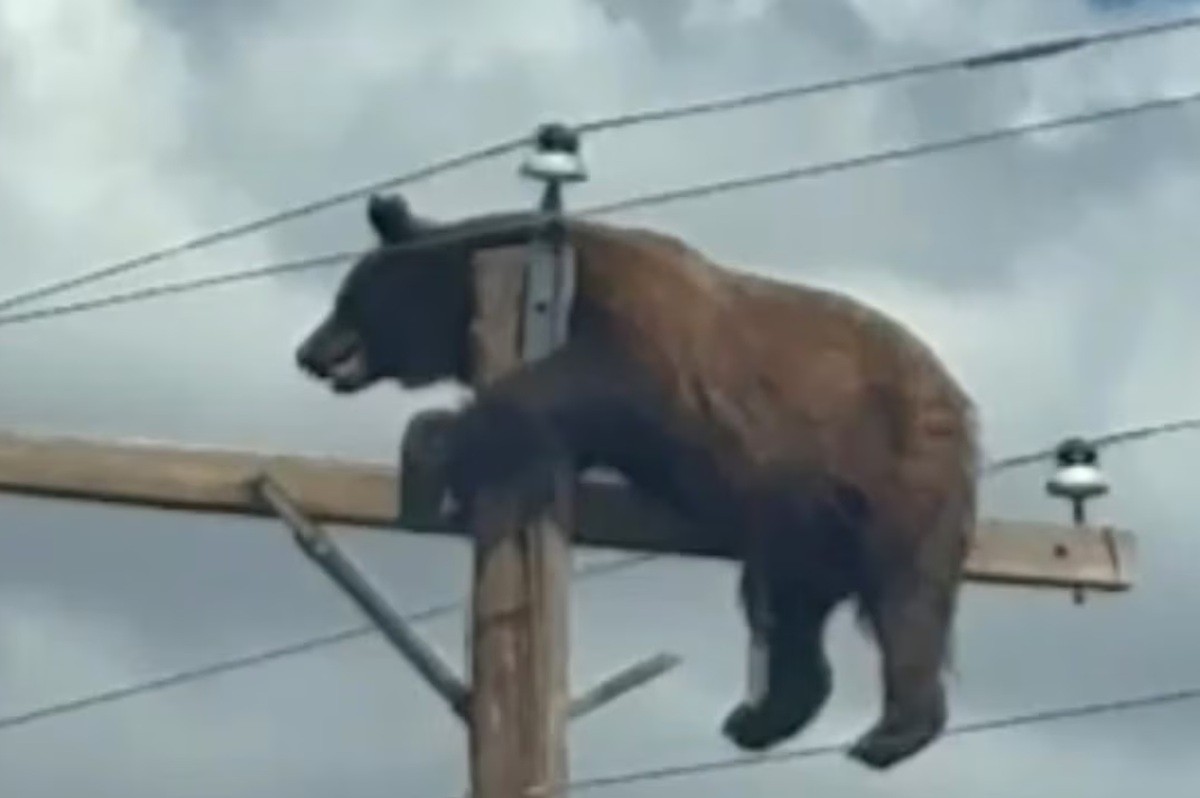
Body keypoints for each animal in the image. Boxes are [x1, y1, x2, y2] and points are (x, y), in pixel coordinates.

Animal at [295, 192, 981, 770]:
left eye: (346, 297)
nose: (307, 352)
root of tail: (957, 397)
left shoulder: (639, 326)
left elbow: (596, 378)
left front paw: (431, 442)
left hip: (892, 466)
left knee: (907, 594)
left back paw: (891, 731)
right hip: (800, 516)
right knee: (788, 607)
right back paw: (760, 717)